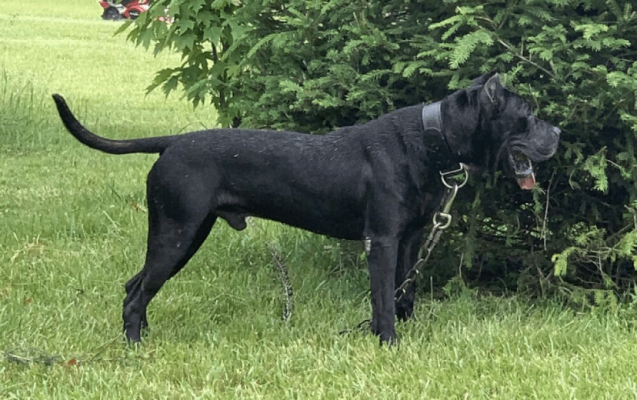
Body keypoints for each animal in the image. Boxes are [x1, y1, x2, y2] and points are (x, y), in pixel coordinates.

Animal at [52, 71, 560, 344]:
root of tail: (172, 142)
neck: (432, 141)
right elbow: (383, 297)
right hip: (177, 233)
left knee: (134, 285)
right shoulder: (381, 241)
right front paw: (388, 342)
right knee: (138, 291)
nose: (557, 133)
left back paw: (142, 335)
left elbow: (405, 292)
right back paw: (135, 346)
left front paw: (402, 332)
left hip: (184, 233)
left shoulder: (411, 240)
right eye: (527, 115)